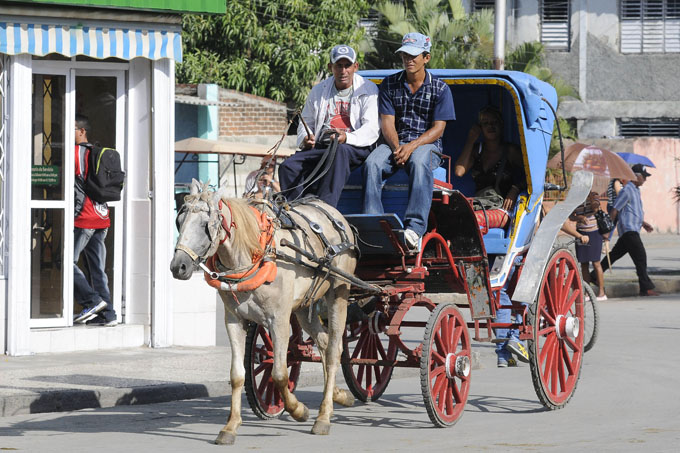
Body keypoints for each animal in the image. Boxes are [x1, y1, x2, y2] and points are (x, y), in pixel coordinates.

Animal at [171, 178, 356, 444]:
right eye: (179, 220)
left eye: (206, 225)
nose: (179, 267)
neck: (253, 254)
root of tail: (334, 212)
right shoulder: (234, 320)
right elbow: (237, 375)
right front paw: (230, 427)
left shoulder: (279, 320)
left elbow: (279, 374)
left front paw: (298, 409)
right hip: (303, 306)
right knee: (322, 342)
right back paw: (337, 396)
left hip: (338, 294)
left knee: (333, 351)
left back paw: (323, 416)